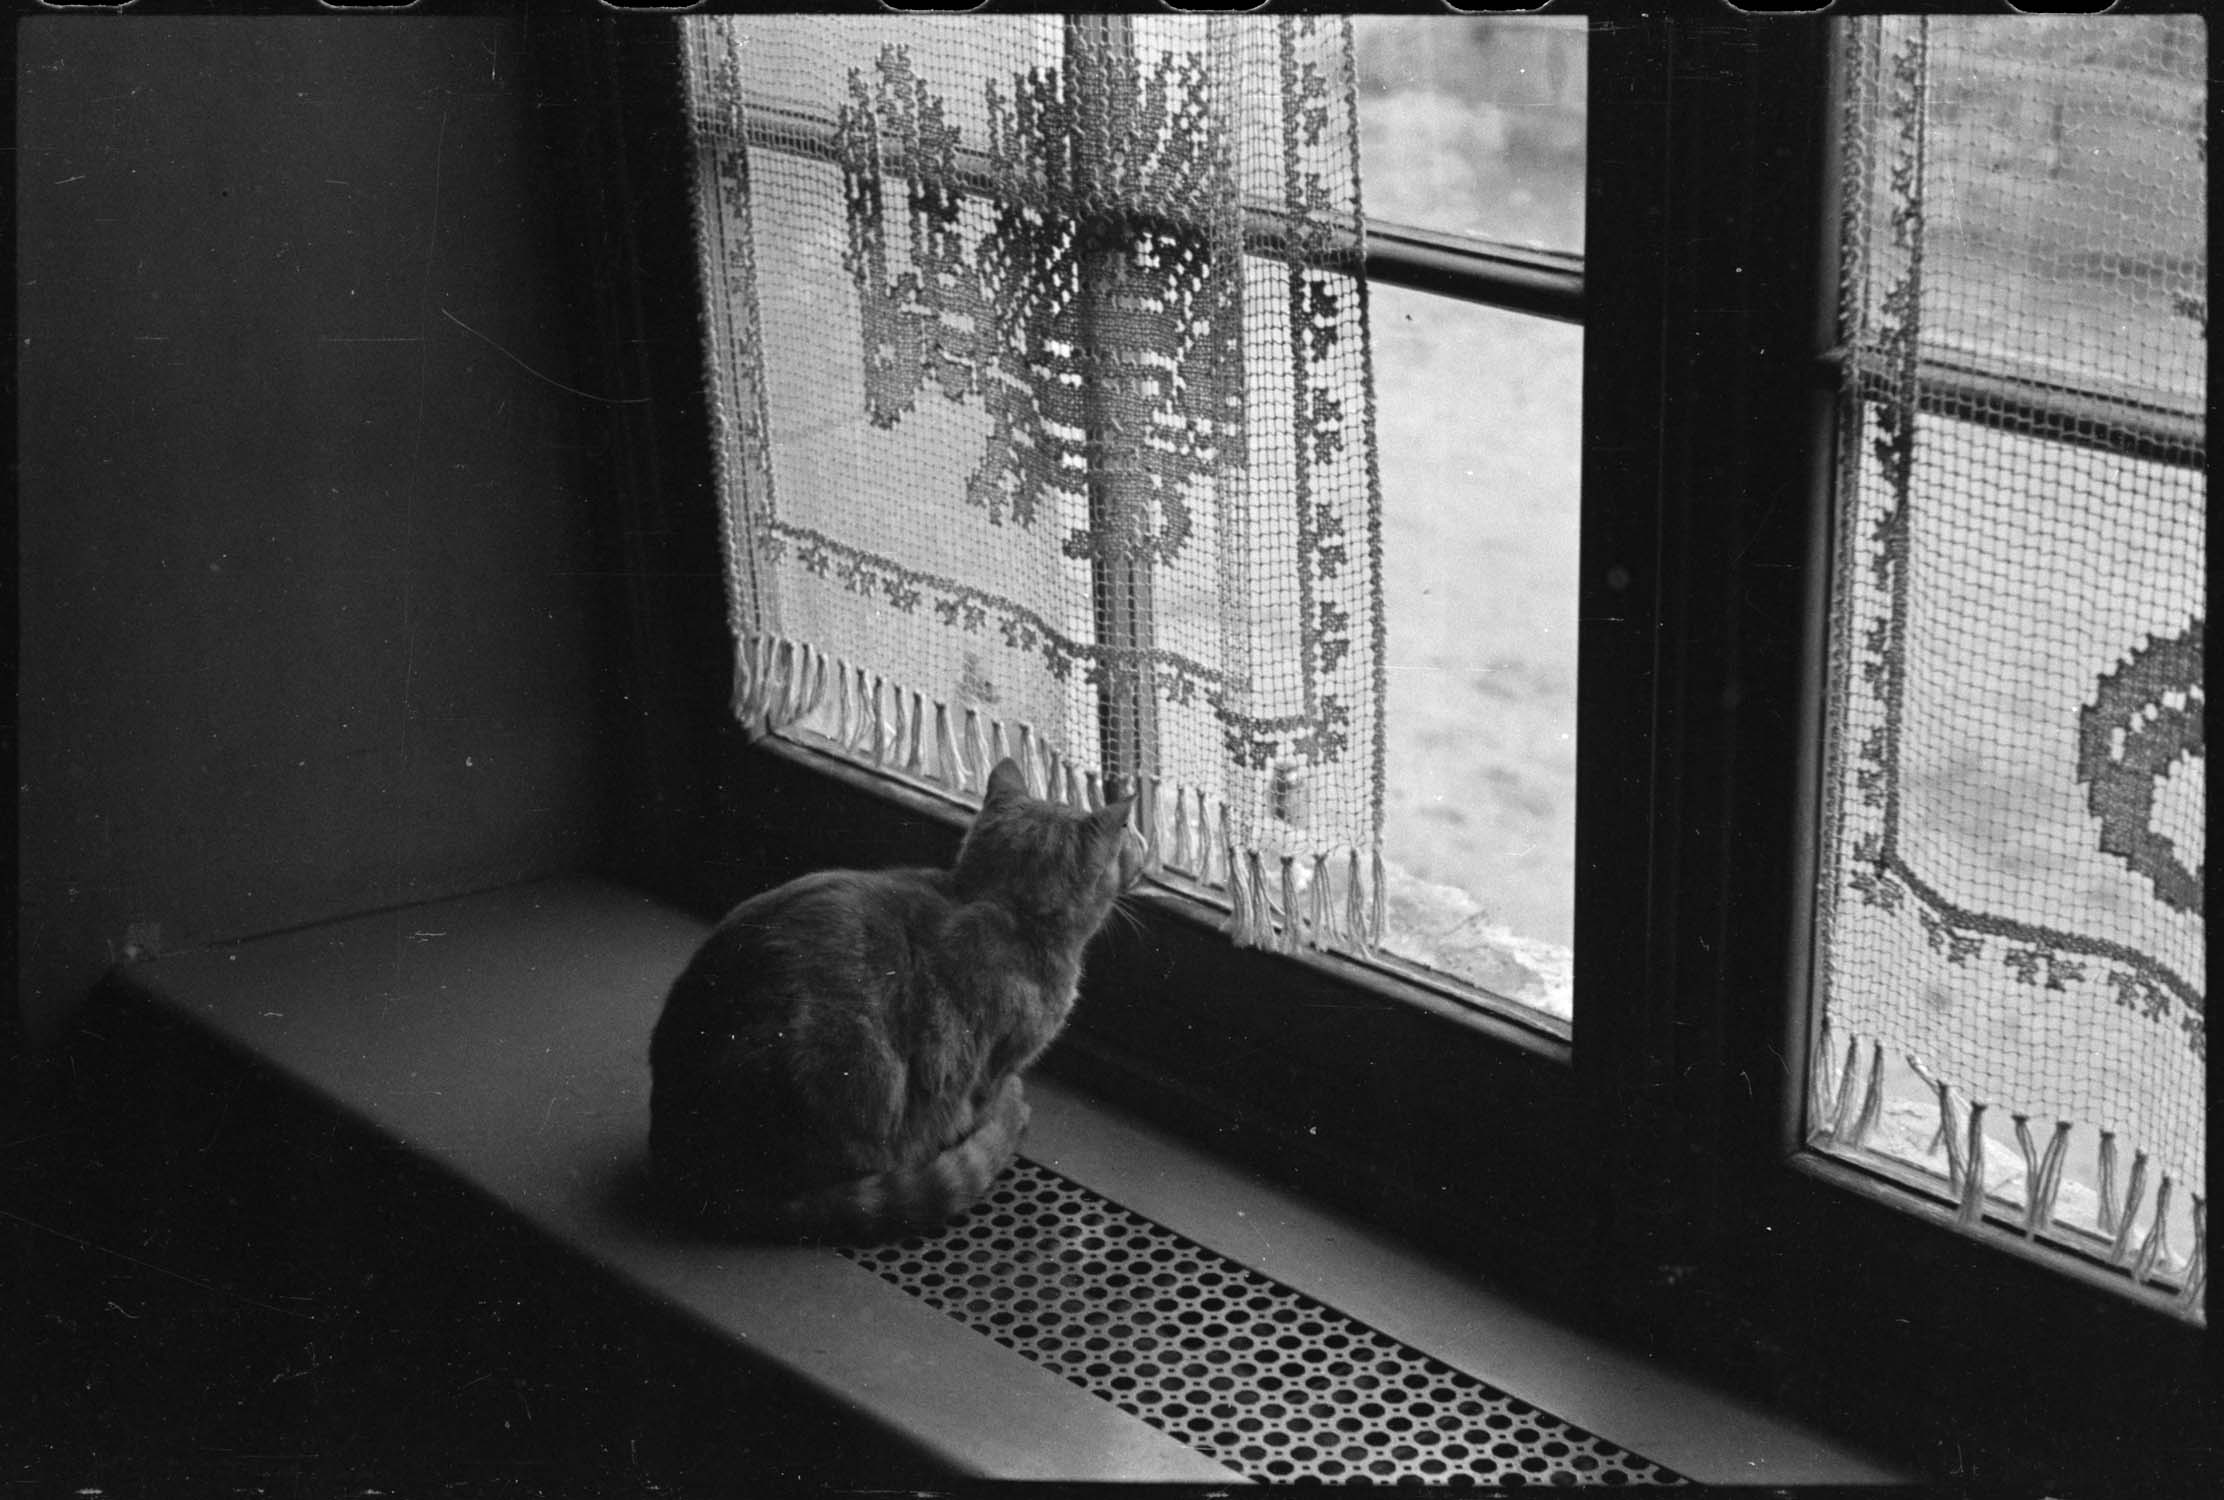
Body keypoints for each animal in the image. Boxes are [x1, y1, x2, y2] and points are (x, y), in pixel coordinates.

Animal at [649, 761, 1147, 1237]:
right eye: (1126, 834)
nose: (1141, 847)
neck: (998, 901)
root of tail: (681, 1162)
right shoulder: (999, 1060)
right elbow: (987, 1099)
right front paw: (999, 1116)